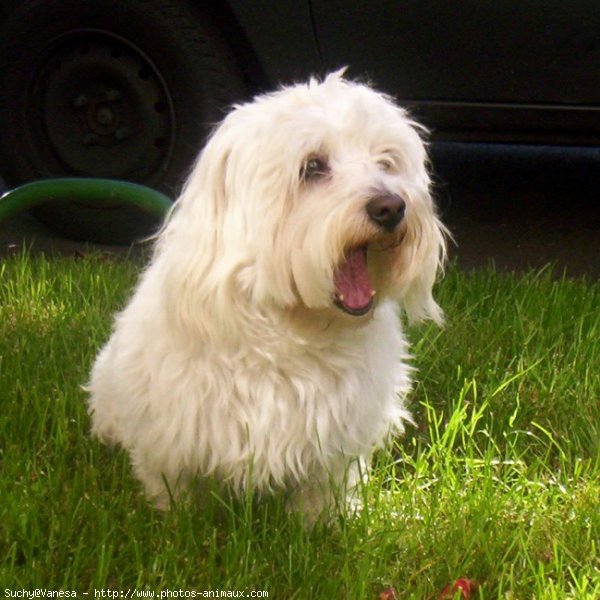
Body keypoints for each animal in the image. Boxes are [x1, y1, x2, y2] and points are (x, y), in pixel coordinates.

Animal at [88, 71, 446, 516]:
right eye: (313, 166)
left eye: (387, 162)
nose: (392, 207)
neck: (292, 328)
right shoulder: (172, 431)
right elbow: (173, 484)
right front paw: (178, 515)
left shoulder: (335, 439)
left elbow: (321, 492)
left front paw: (323, 521)